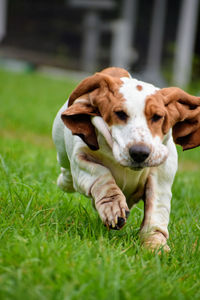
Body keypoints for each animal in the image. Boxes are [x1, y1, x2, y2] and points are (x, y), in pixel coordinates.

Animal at [52, 67, 200, 251]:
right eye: (120, 114)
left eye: (157, 117)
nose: (139, 153)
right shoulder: (80, 161)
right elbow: (101, 175)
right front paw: (113, 207)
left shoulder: (163, 171)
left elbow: (157, 205)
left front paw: (155, 244)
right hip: (63, 154)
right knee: (66, 175)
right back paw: (65, 181)